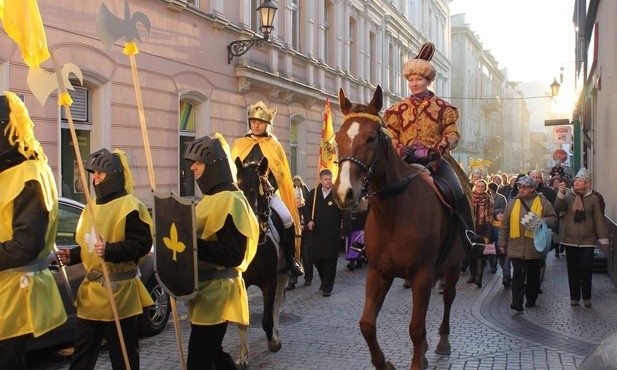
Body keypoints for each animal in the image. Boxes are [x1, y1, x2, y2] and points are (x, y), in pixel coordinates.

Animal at [334, 85, 464, 368]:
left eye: (371, 138)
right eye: (337, 138)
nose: (345, 194)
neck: (394, 214)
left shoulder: (422, 275)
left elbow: (416, 328)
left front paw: (418, 359)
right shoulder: (378, 273)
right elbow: (366, 324)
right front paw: (384, 362)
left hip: (454, 264)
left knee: (449, 297)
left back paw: (443, 341)